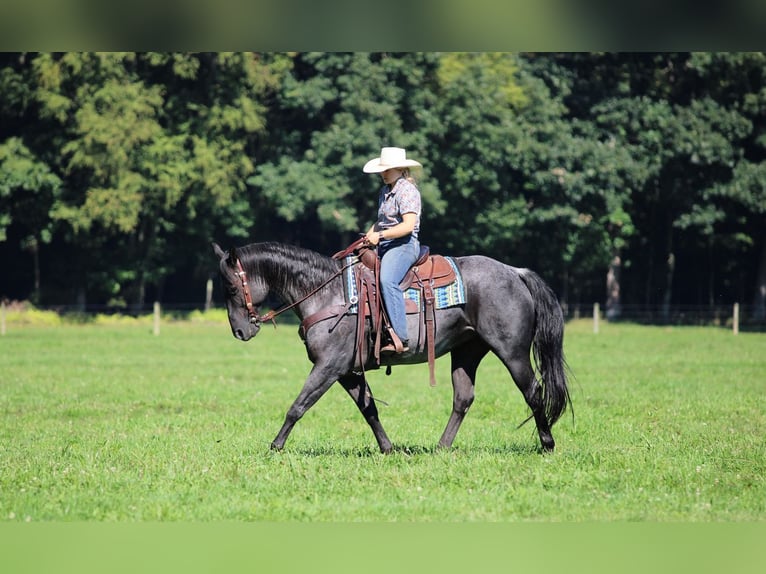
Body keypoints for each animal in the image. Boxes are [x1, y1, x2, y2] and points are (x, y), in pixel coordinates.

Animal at [212, 241, 571, 454]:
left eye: (231, 287)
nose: (240, 331)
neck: (329, 294)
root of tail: (515, 272)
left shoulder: (328, 366)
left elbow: (298, 405)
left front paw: (275, 446)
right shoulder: (347, 371)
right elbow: (368, 409)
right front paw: (388, 448)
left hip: (512, 353)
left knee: (533, 393)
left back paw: (548, 444)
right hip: (467, 351)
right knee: (463, 398)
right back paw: (441, 447)